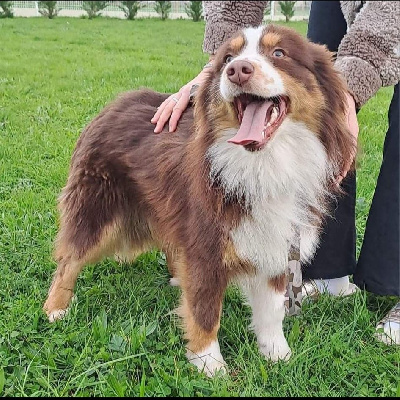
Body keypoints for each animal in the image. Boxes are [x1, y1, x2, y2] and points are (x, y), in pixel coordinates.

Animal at [43, 24, 354, 376]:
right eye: (228, 58)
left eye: (279, 53)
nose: (237, 70)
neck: (265, 164)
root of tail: (114, 104)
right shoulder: (206, 246)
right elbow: (205, 312)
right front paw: (210, 366)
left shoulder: (278, 243)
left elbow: (272, 310)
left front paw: (277, 355)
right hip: (97, 207)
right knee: (70, 258)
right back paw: (55, 309)